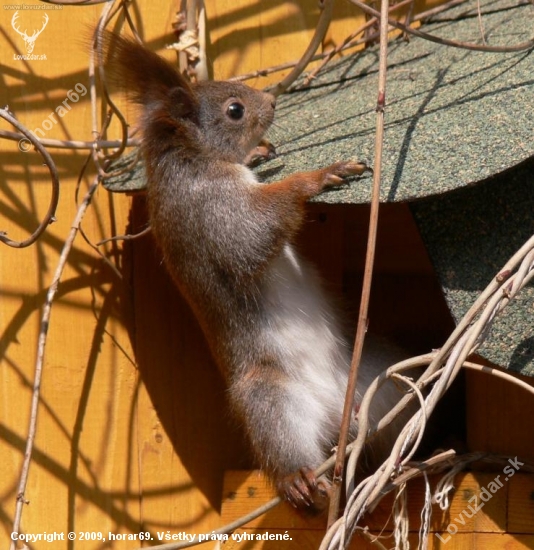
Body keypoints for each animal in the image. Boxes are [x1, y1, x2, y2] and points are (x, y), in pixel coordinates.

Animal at [103, 33, 406, 512]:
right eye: (235, 110)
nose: (272, 101)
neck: (192, 163)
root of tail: (336, 411)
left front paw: (262, 153)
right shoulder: (214, 211)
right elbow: (253, 233)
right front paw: (317, 177)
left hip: (380, 375)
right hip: (269, 398)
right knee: (284, 448)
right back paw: (299, 479)